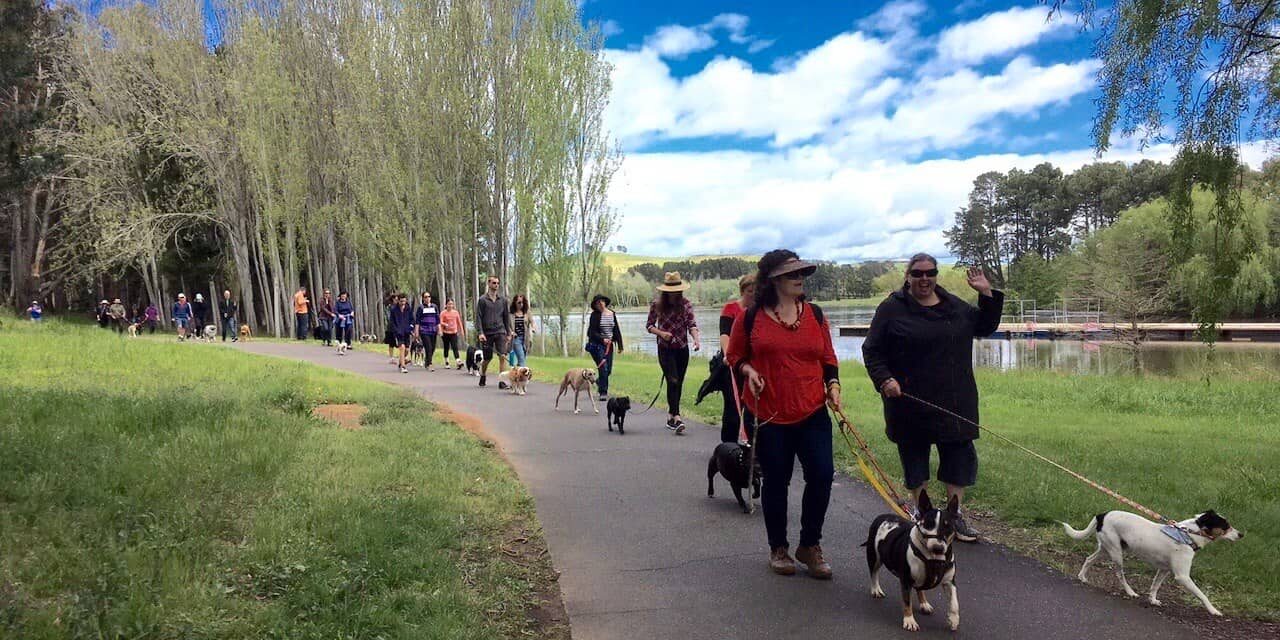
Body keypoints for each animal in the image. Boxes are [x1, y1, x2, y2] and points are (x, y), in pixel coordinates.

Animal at [860, 488, 962, 629]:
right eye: (928, 524)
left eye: (948, 526)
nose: (938, 548)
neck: (933, 559)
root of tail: (883, 516)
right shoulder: (906, 580)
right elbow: (907, 601)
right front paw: (909, 620)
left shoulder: (949, 581)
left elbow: (954, 602)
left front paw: (953, 619)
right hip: (874, 556)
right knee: (874, 572)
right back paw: (876, 589)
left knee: (920, 588)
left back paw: (924, 604)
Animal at [1059, 509, 1249, 614]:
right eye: (1226, 526)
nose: (1241, 535)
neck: (1188, 534)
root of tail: (1102, 515)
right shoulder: (1182, 577)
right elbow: (1202, 595)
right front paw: (1214, 610)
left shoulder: (1164, 570)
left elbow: (1155, 586)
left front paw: (1152, 600)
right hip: (1116, 553)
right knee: (1119, 574)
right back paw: (1130, 592)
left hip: (1106, 549)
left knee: (1089, 559)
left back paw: (1083, 577)